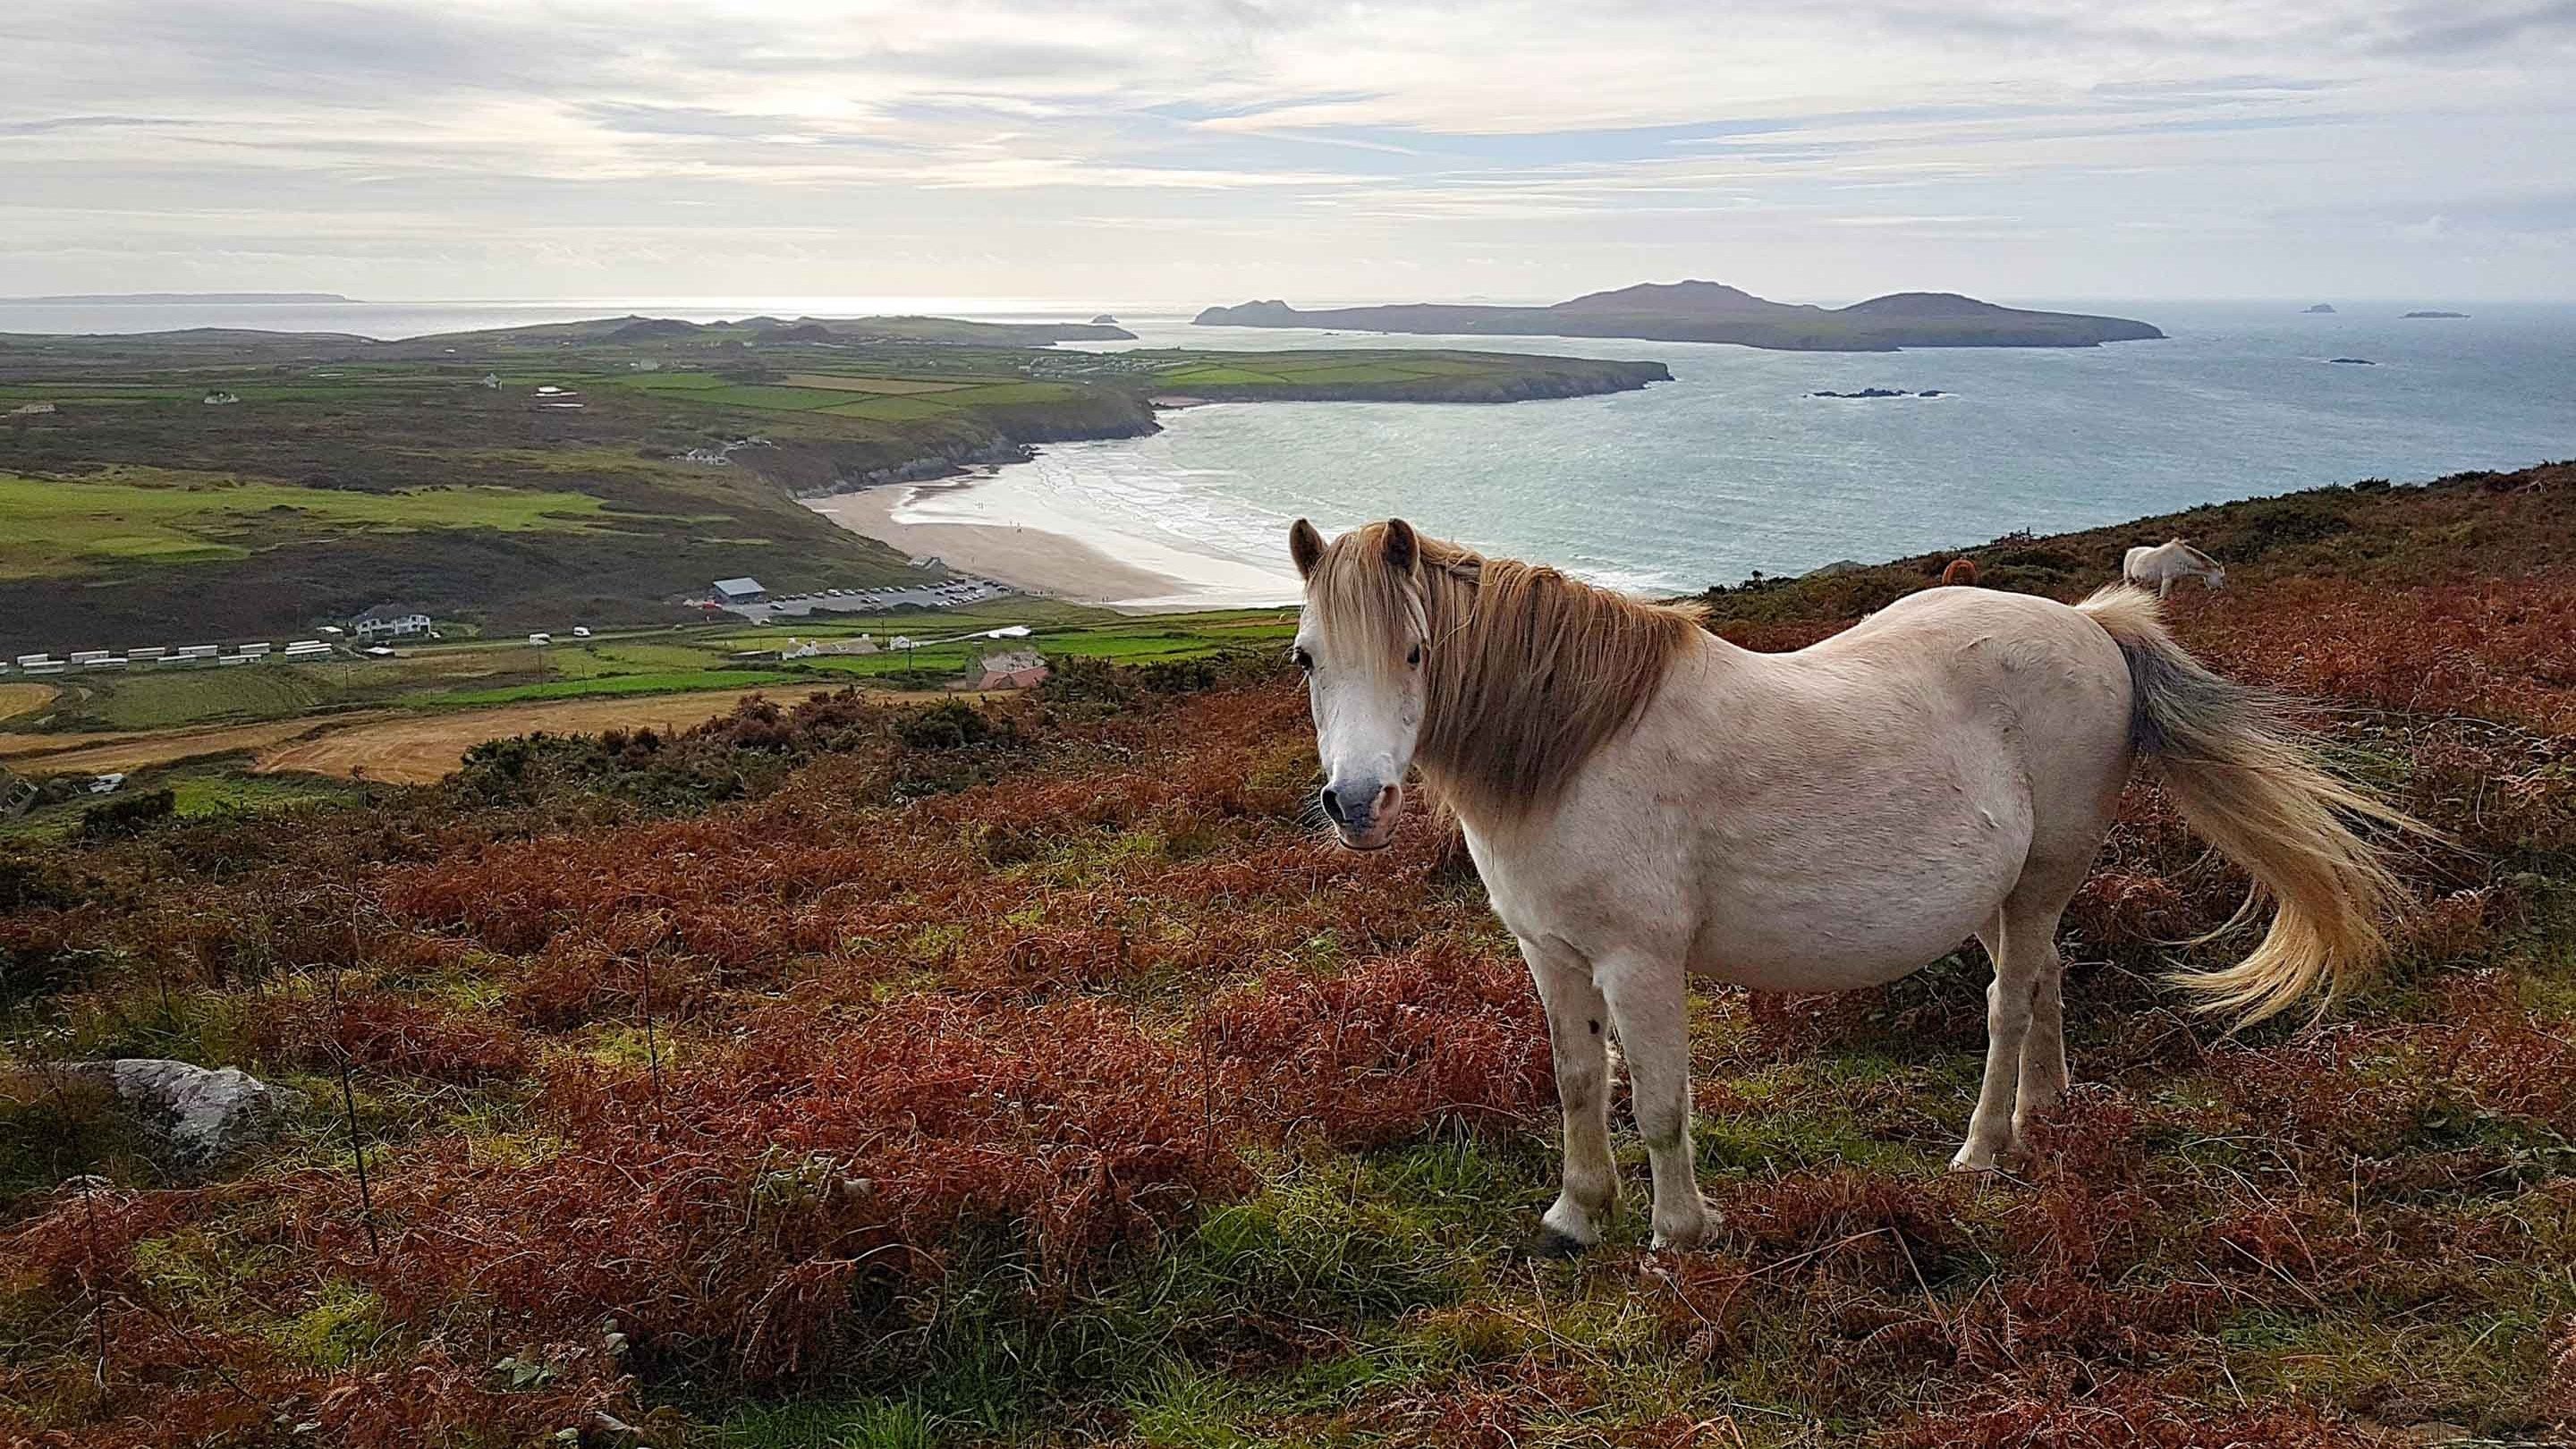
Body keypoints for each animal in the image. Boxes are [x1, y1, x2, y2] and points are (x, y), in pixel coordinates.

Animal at [1288, 517, 2412, 1251]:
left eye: (1417, 651)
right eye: (1306, 658)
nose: (1356, 804)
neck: (1576, 748)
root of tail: (2093, 626)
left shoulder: (1640, 965)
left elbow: (1657, 1100)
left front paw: (1680, 1232)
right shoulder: (1551, 955)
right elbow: (1575, 1082)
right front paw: (1576, 1215)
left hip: (2041, 878)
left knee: (2007, 1004)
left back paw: (1983, 1149)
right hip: (2004, 893)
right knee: (2045, 978)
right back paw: (2046, 1112)